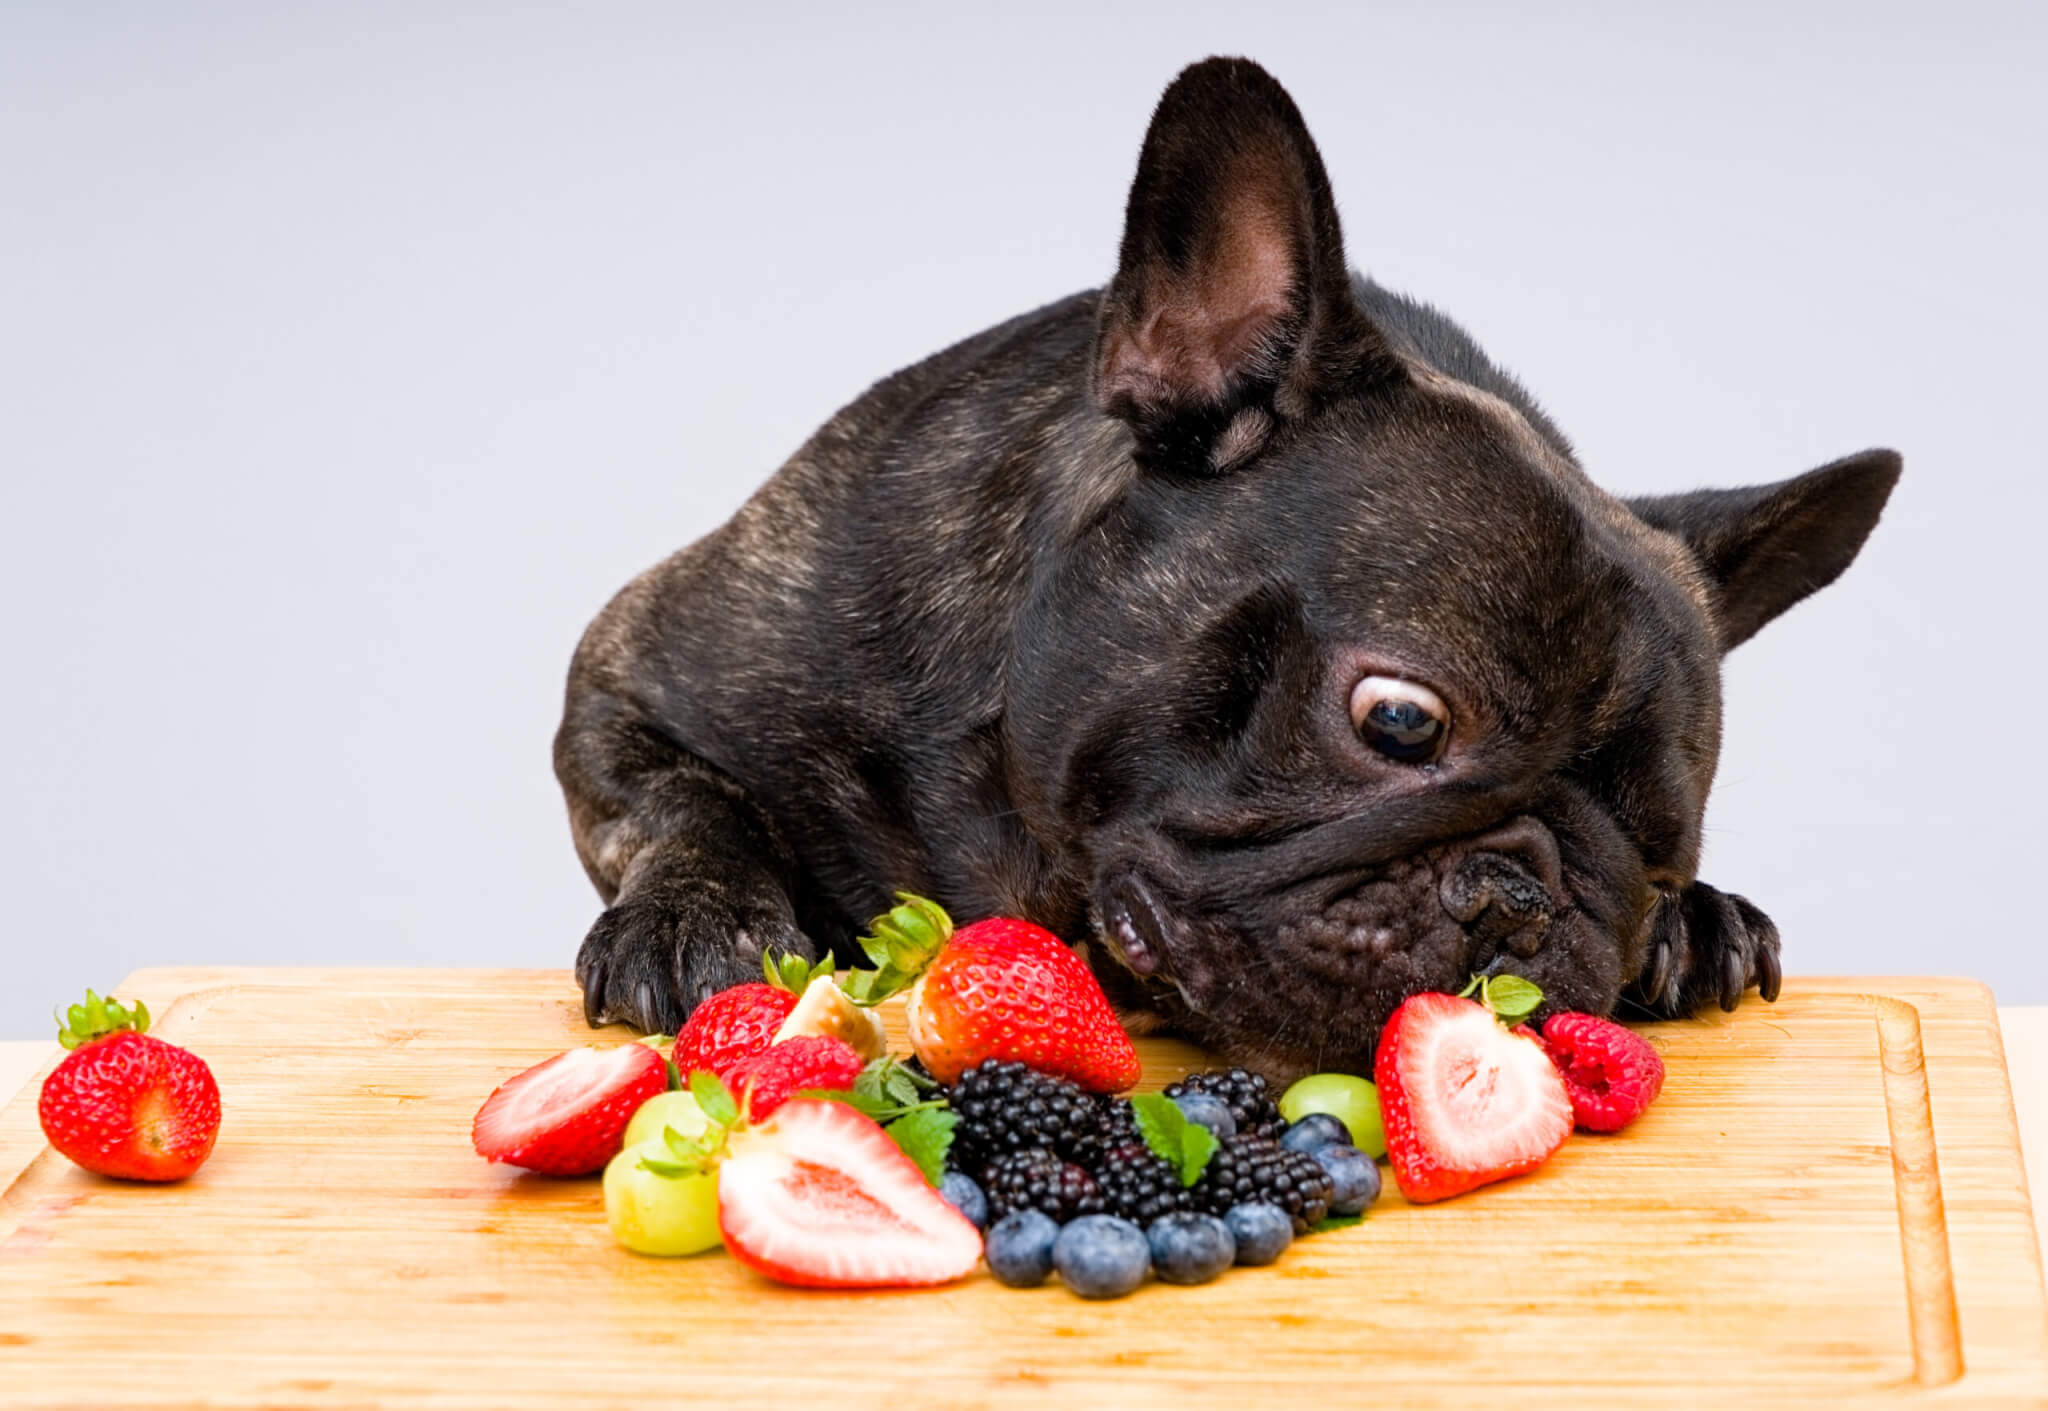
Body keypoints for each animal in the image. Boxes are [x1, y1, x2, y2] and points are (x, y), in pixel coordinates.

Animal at [552, 55, 1892, 1081]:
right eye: (1399, 721)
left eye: (1661, 858)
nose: (1518, 898)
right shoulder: (636, 672)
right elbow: (677, 798)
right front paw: (695, 915)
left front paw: (1694, 922)